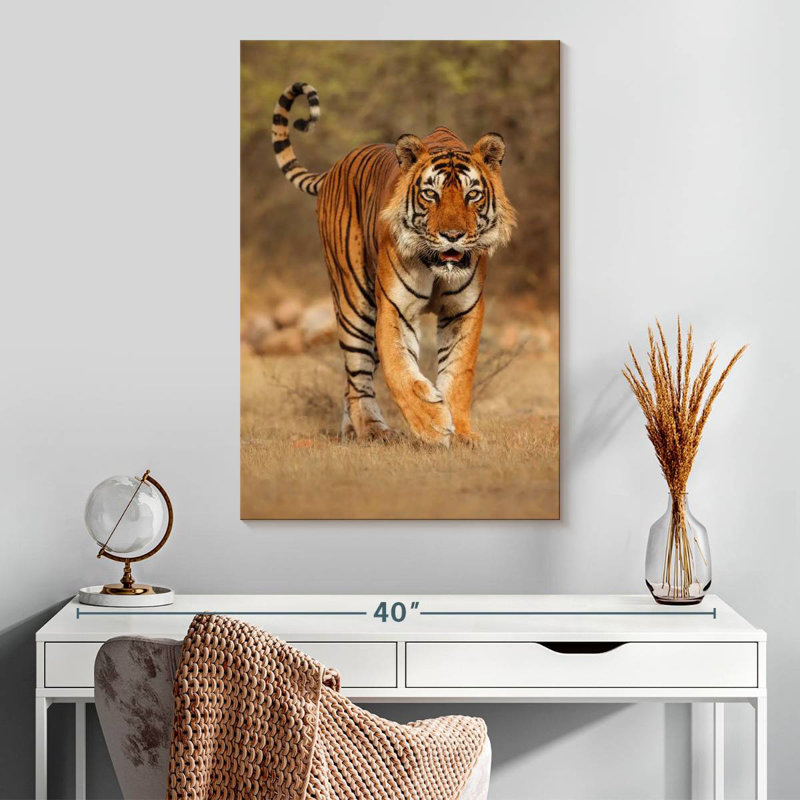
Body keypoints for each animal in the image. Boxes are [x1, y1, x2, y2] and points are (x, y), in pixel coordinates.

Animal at [272, 81, 517, 447]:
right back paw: (372, 430)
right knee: (357, 375)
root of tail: (333, 168)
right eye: (431, 194)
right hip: (355, 302)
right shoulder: (394, 308)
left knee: (351, 382)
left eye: (472, 195)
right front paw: (432, 424)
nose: (453, 236)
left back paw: (352, 431)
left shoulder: (464, 310)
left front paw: (461, 433)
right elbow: (400, 370)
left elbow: (459, 373)